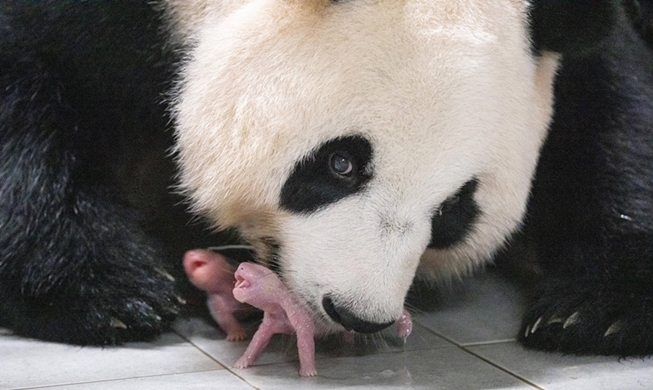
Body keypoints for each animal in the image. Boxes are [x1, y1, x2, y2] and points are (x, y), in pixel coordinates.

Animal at [1, 0, 652, 360]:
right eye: (341, 164)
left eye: (454, 211)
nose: (358, 313)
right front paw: (109, 292)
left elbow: (612, 111)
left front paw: (594, 310)